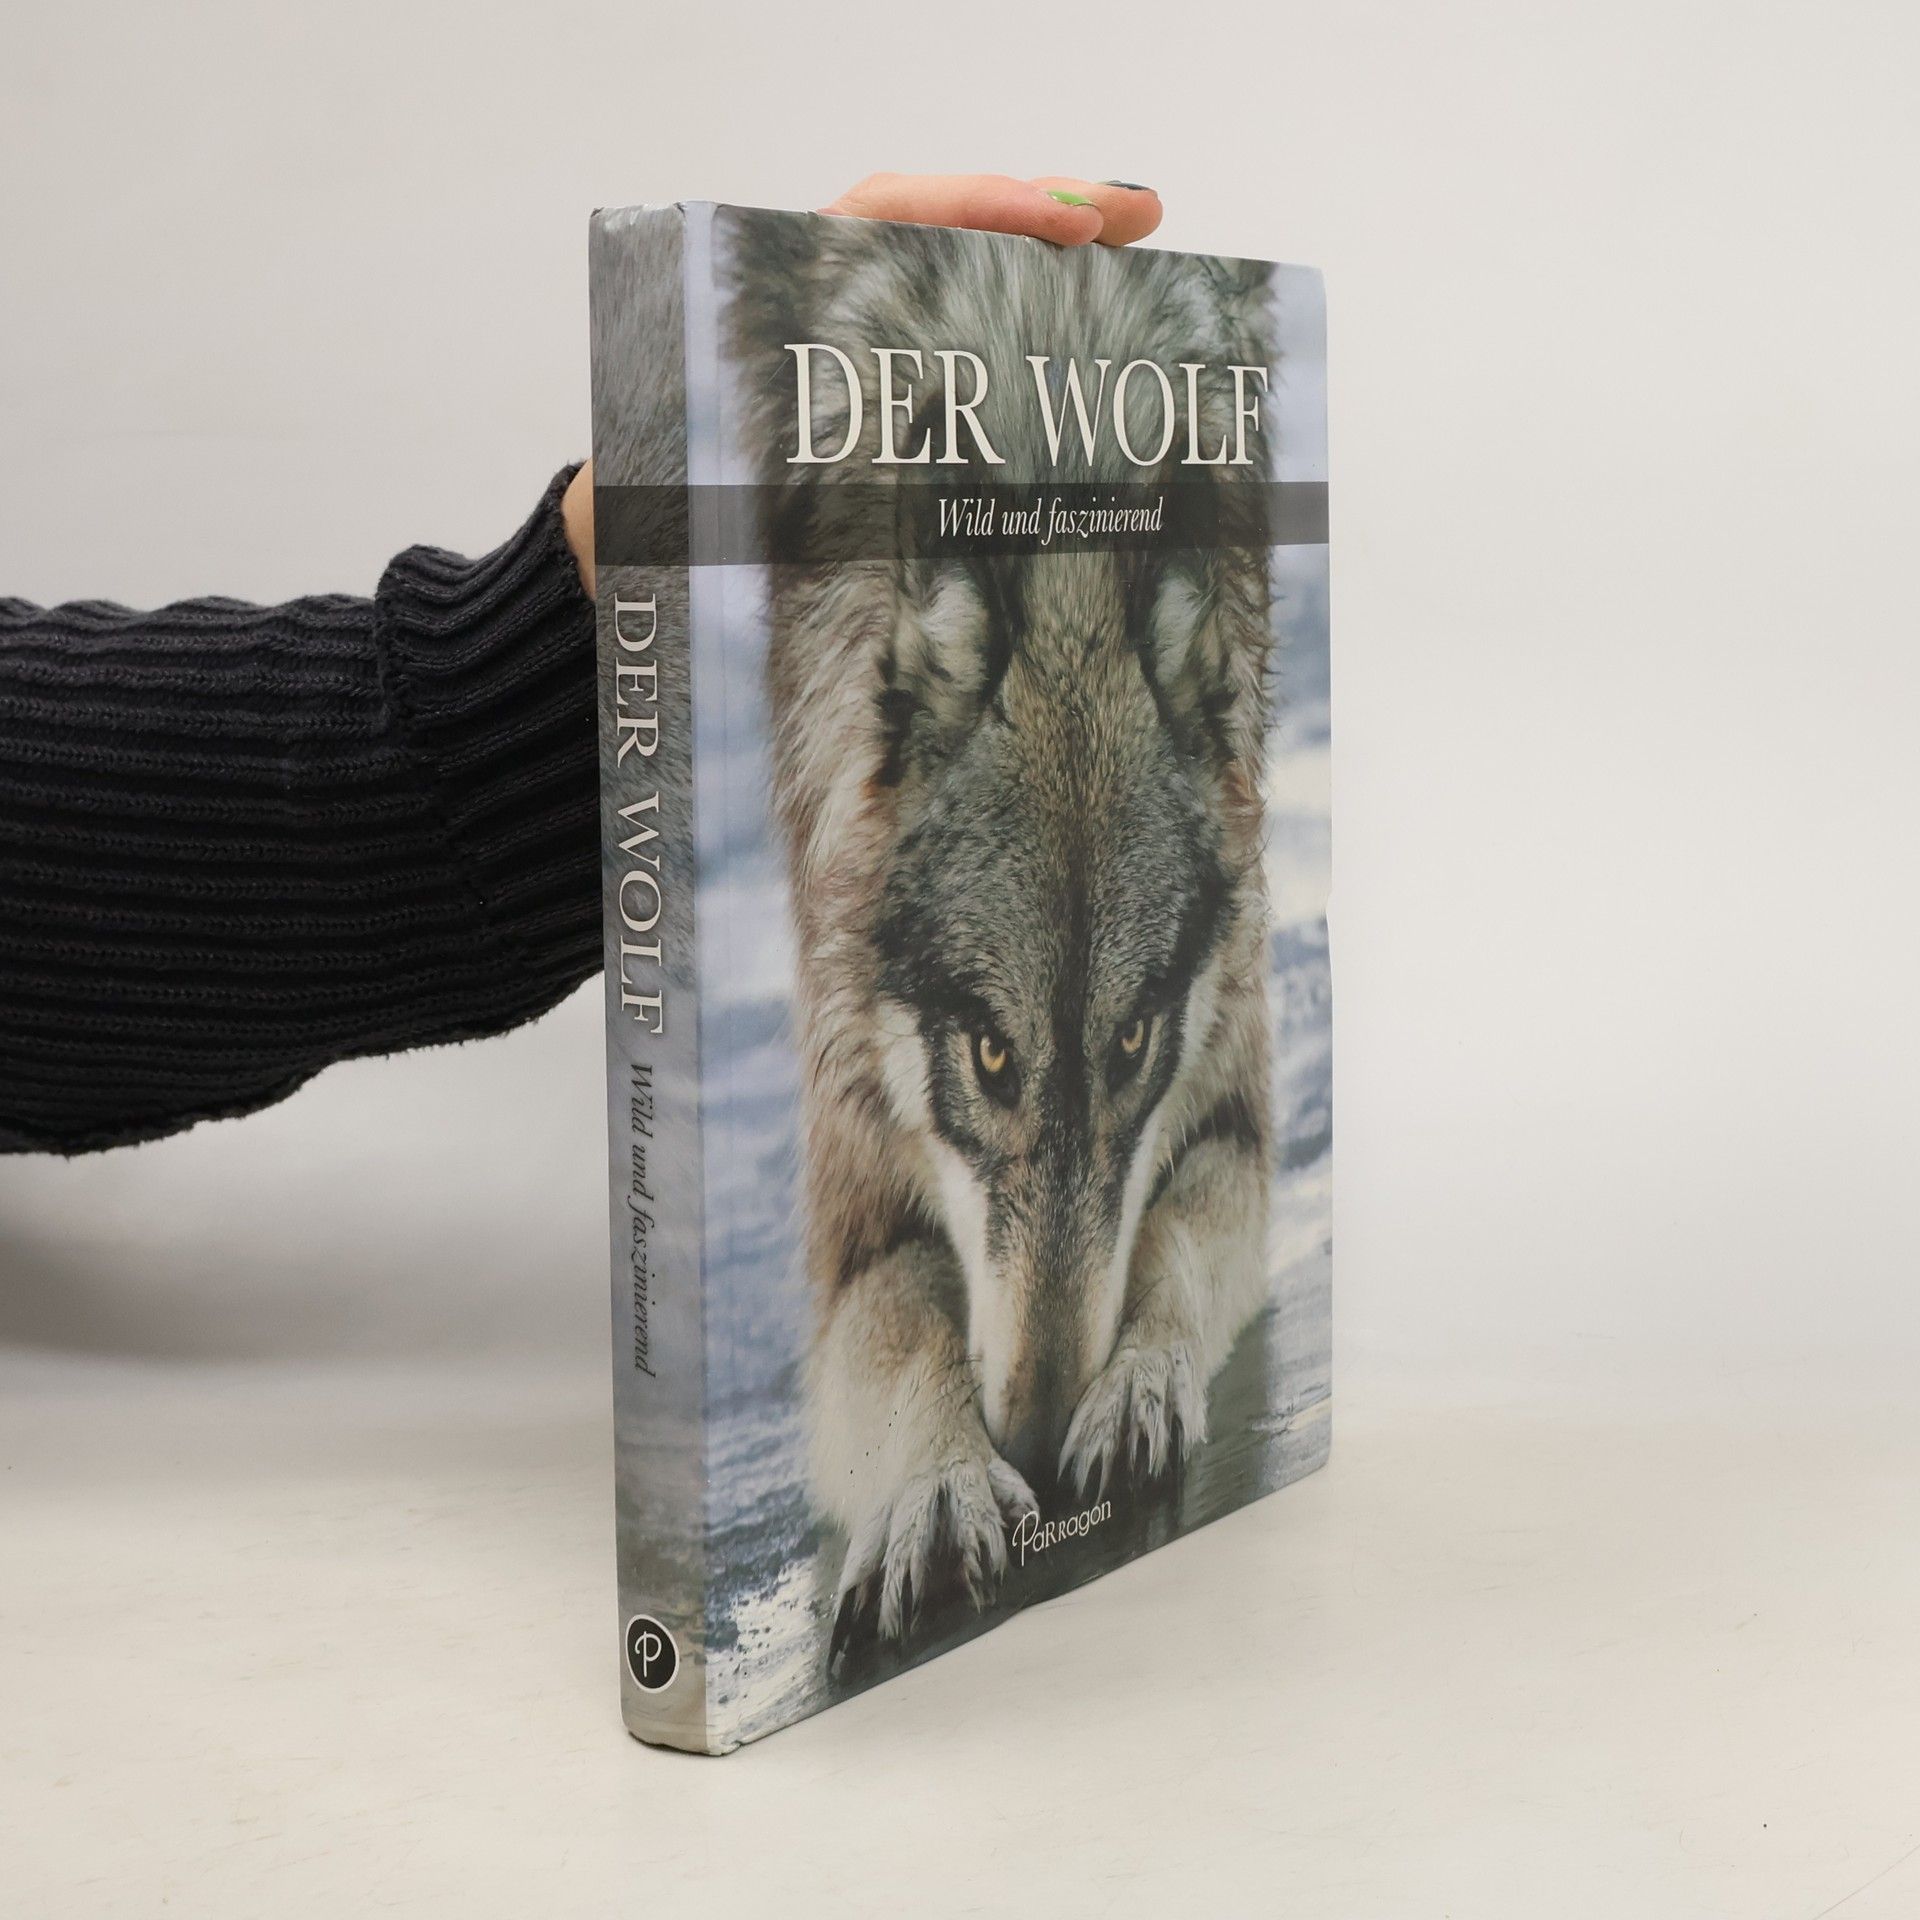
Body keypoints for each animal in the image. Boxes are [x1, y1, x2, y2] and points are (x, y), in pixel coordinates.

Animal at [727, 213, 1280, 1651]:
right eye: (987, 1057)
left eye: (1133, 1041)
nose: (1028, 1437)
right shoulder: (857, 1201)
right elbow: (905, 1336)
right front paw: (937, 1484)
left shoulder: (1236, 1102)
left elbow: (1180, 1240)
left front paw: (1137, 1386)